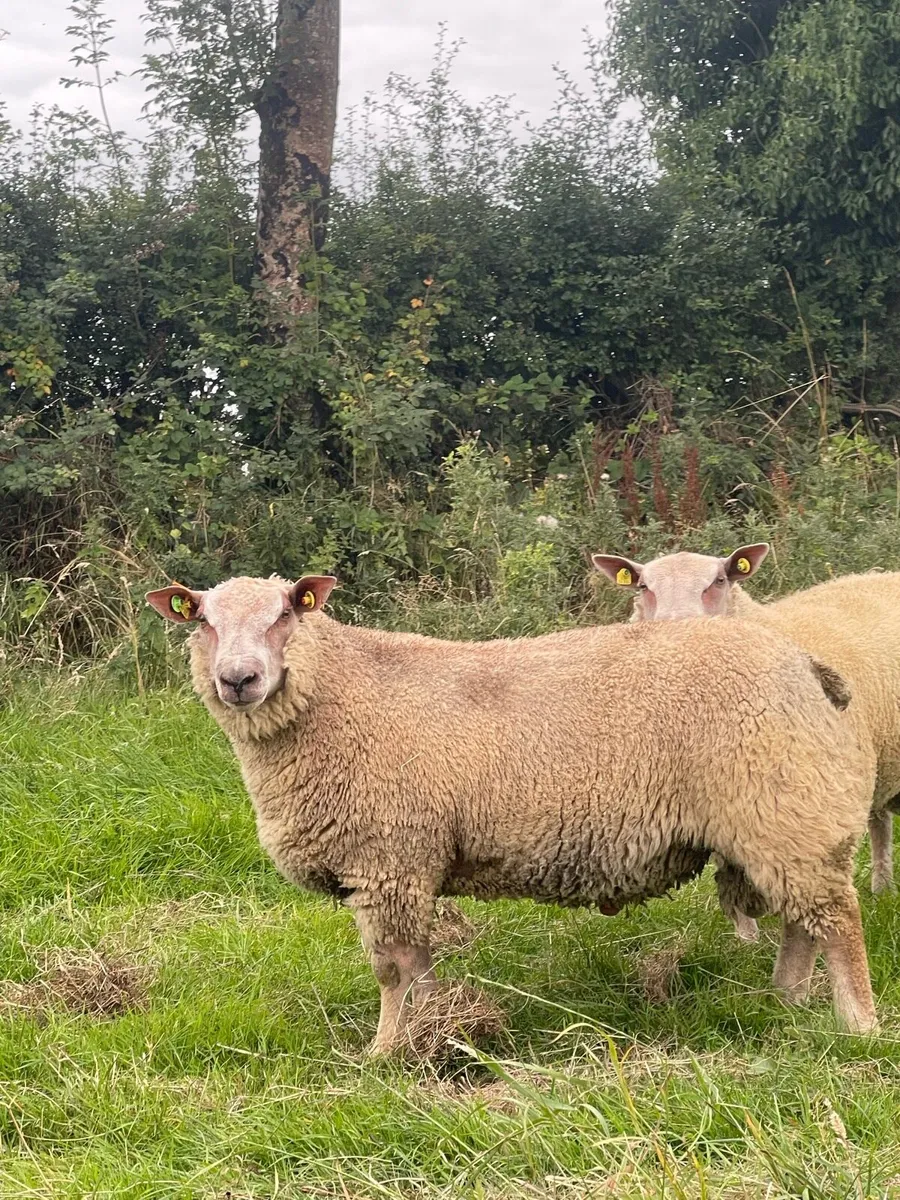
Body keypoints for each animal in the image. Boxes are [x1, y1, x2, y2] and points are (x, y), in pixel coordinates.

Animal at [147, 574, 878, 1051]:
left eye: (284, 614)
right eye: (202, 620)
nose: (238, 680)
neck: (339, 696)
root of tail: (802, 662)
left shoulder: (388, 861)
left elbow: (392, 969)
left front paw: (387, 1052)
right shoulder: (403, 867)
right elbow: (417, 967)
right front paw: (436, 1031)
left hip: (784, 806)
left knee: (836, 920)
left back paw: (858, 1026)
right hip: (781, 818)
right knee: (802, 923)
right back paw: (782, 1001)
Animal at [593, 545, 900, 933]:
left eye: (719, 580)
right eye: (643, 586)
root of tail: (883, 573)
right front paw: (746, 930)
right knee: (880, 820)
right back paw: (882, 888)